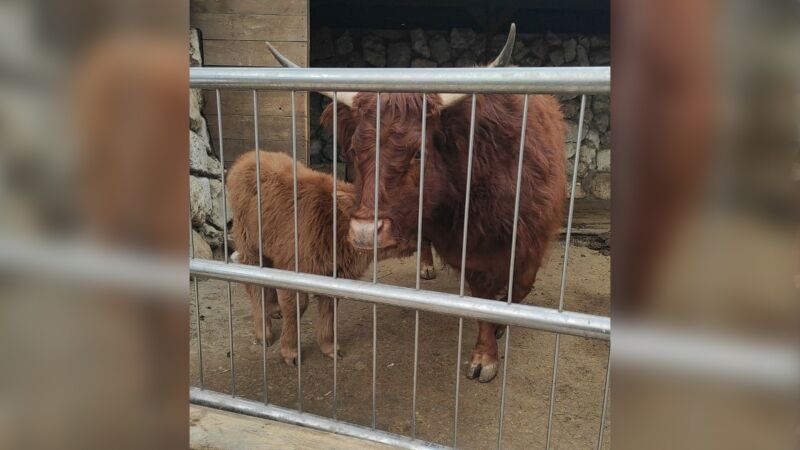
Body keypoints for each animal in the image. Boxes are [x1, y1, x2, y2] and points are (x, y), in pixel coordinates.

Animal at [227, 152, 424, 366]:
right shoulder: (295, 268)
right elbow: (296, 307)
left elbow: (329, 310)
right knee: (254, 285)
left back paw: (273, 309)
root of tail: (247, 157)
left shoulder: (332, 275)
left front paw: (329, 347)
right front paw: (290, 352)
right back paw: (263, 333)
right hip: (248, 243)